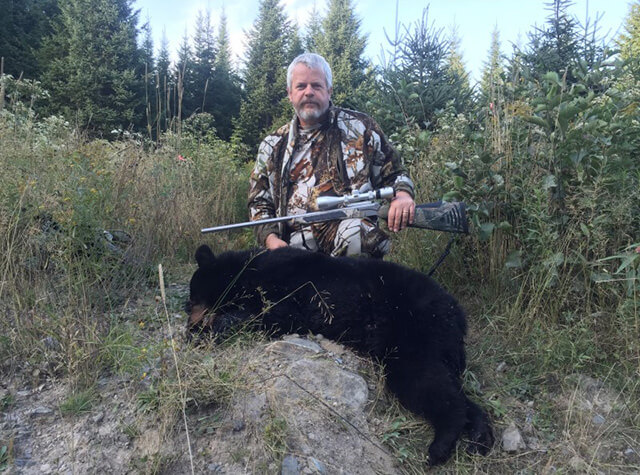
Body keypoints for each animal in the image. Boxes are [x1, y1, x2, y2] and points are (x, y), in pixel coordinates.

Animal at [186, 245, 496, 464]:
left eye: (192, 299)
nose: (190, 324)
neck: (247, 273)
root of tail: (457, 314)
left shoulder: (292, 293)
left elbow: (266, 315)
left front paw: (207, 332)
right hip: (432, 346)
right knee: (449, 388)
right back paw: (480, 435)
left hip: (415, 333)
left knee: (427, 385)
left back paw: (440, 446)